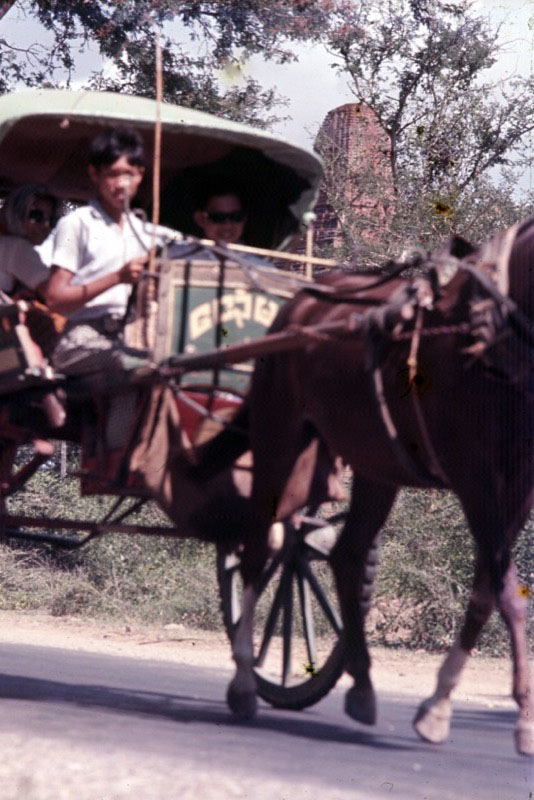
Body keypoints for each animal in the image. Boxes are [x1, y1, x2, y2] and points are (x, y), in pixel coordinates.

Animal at [222, 219, 534, 756]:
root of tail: (297, 304)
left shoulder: (522, 482)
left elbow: (486, 589)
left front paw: (438, 706)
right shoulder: (473, 474)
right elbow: (507, 590)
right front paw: (524, 718)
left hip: (374, 464)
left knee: (345, 555)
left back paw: (363, 686)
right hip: (279, 433)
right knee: (262, 545)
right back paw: (244, 679)